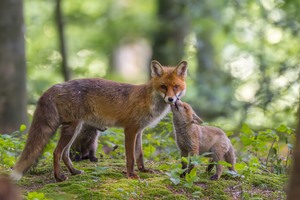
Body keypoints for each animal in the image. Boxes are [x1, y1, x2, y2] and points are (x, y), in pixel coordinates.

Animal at [11, 59, 188, 181]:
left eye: (176, 87)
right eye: (163, 86)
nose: (171, 99)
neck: (148, 100)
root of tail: (57, 85)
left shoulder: (140, 130)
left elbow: (139, 154)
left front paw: (143, 170)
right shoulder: (130, 130)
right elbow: (130, 157)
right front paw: (131, 175)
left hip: (75, 128)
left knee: (65, 154)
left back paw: (74, 172)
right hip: (72, 128)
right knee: (56, 152)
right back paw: (59, 177)